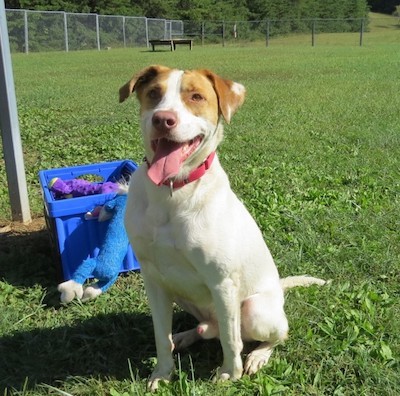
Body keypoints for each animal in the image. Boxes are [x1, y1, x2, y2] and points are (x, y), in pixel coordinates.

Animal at [119, 65, 324, 390]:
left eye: (196, 97)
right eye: (153, 93)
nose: (163, 119)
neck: (173, 192)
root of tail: (279, 290)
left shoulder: (223, 283)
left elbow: (230, 339)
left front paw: (230, 373)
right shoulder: (153, 280)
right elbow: (160, 336)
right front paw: (162, 373)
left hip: (255, 311)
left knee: (272, 334)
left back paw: (258, 356)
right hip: (181, 294)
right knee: (203, 330)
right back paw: (185, 336)